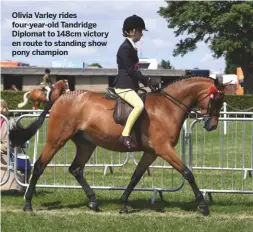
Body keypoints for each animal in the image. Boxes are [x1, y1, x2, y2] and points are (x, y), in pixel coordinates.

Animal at [9, 76, 227, 216]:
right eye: (216, 99)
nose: (212, 125)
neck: (167, 107)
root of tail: (60, 97)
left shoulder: (151, 152)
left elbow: (135, 177)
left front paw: (123, 204)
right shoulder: (164, 149)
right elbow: (187, 173)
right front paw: (203, 206)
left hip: (87, 144)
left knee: (76, 169)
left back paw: (93, 201)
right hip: (56, 140)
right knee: (39, 166)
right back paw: (28, 204)